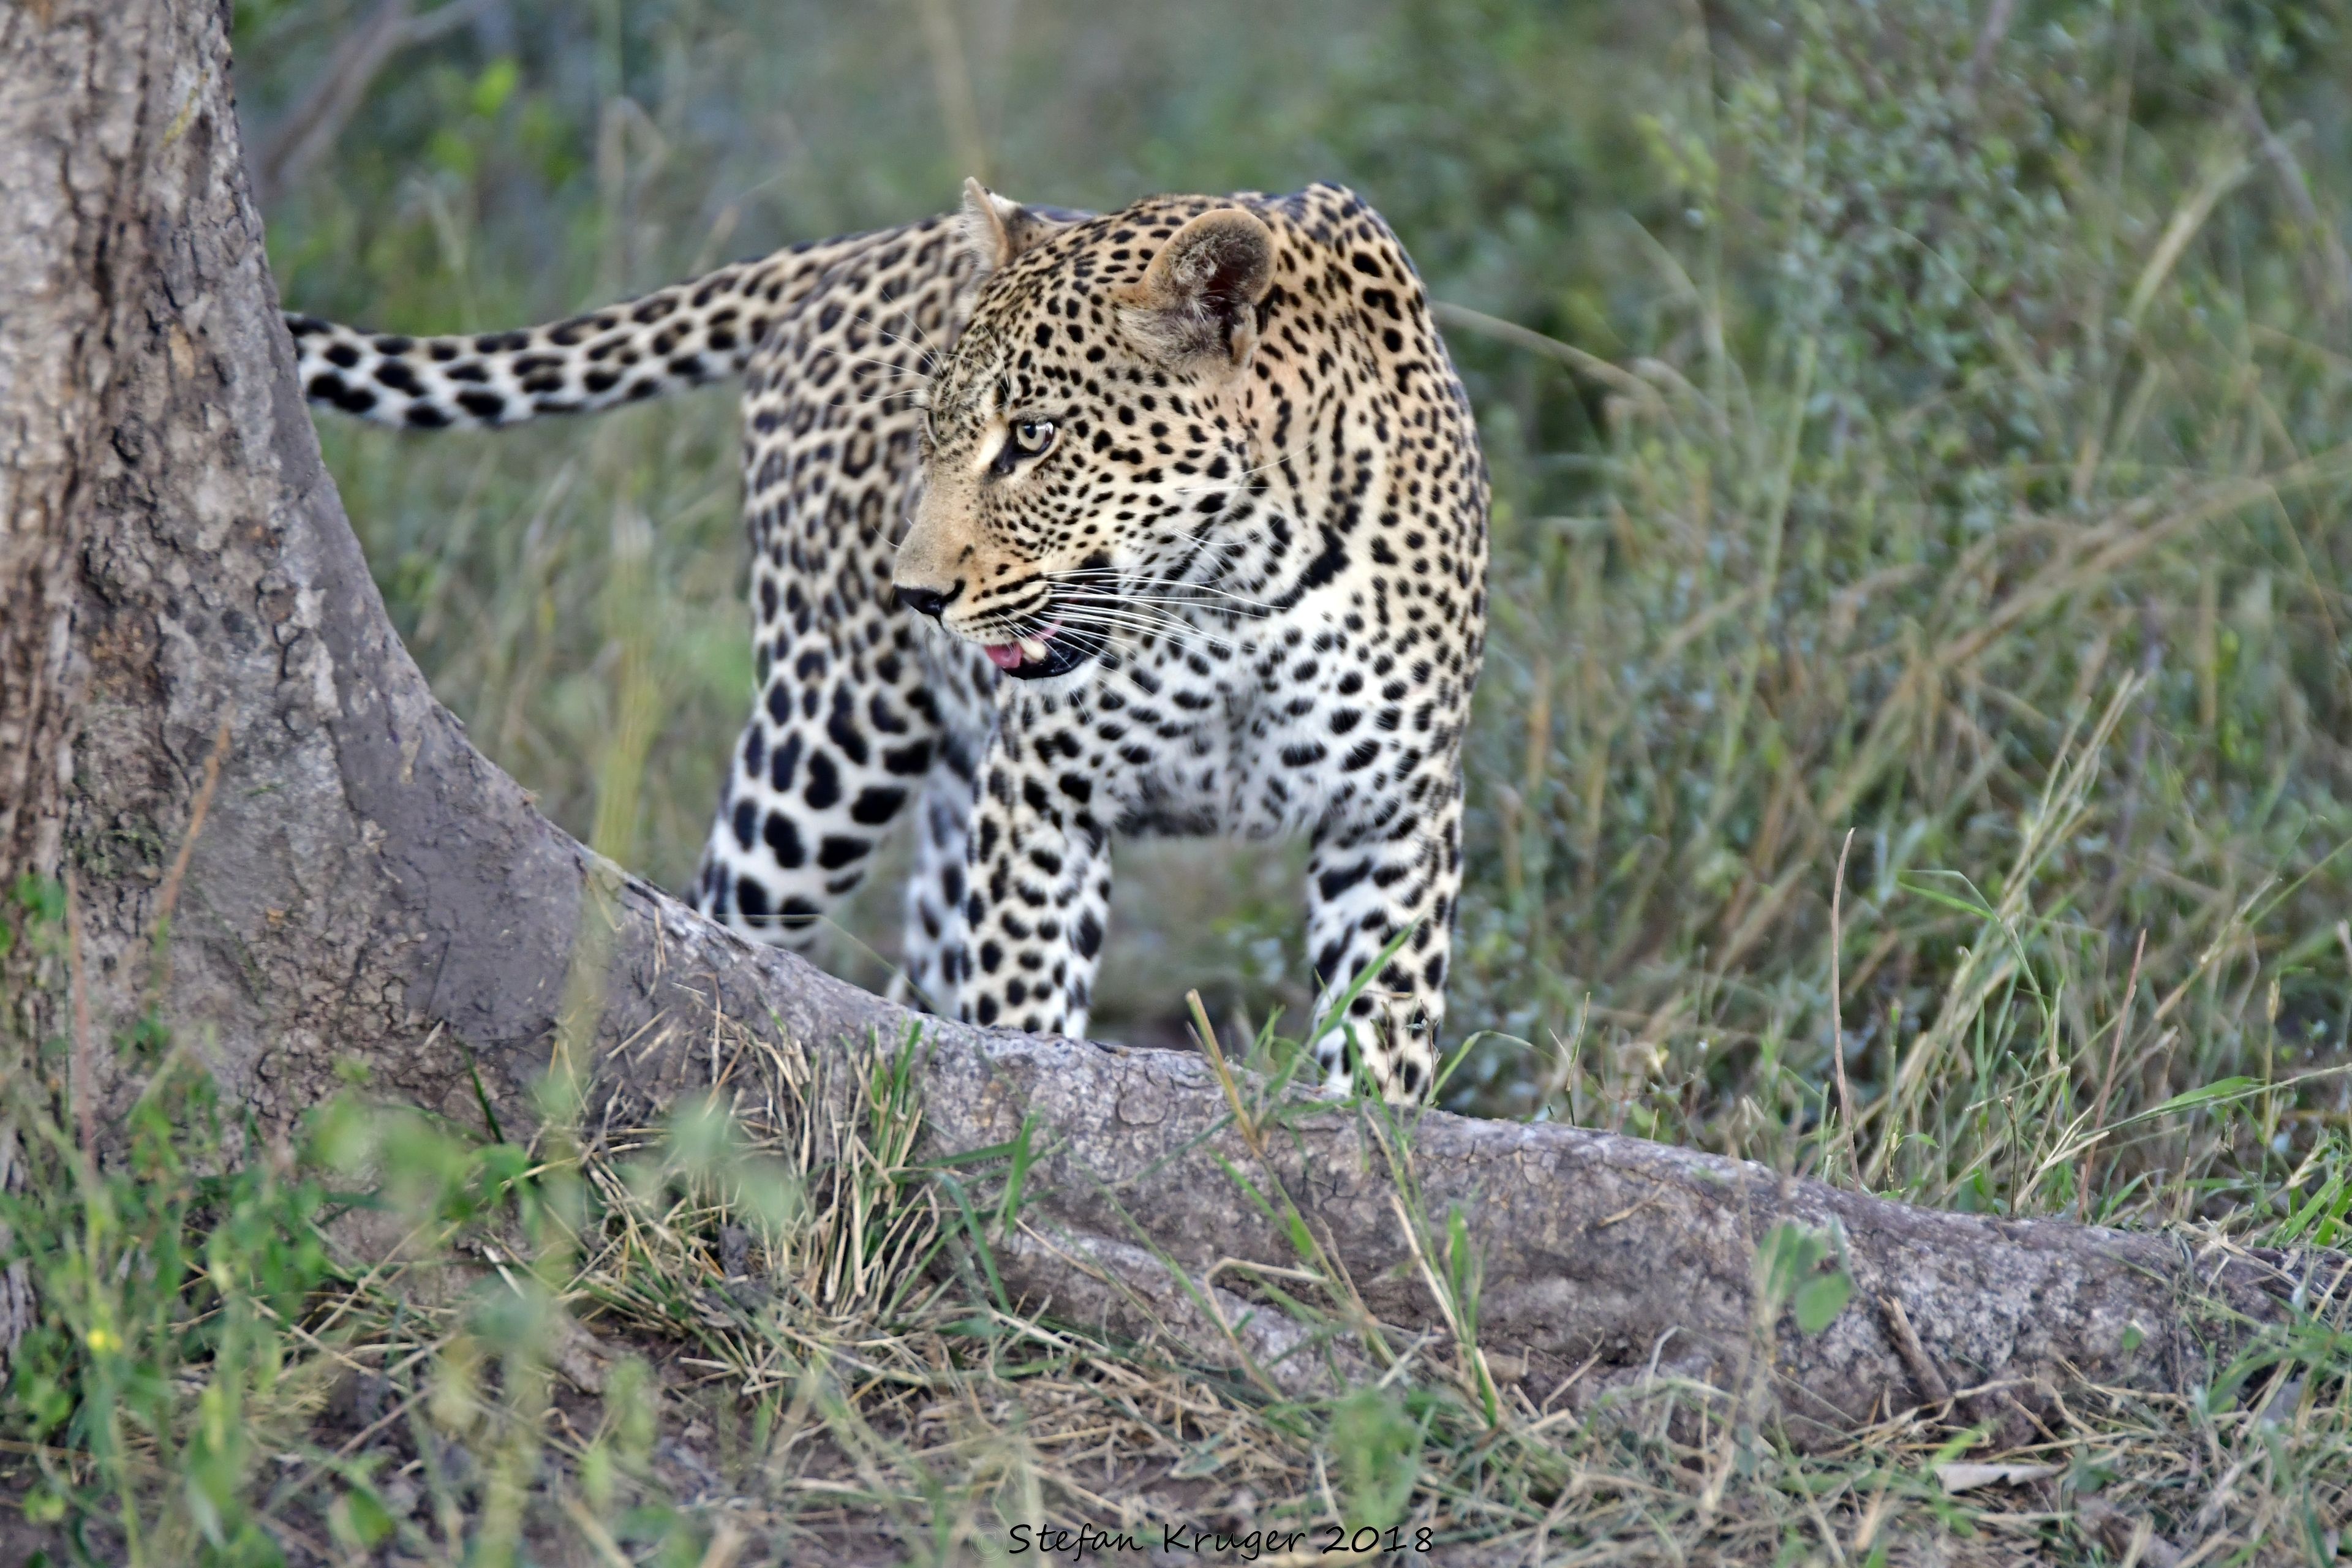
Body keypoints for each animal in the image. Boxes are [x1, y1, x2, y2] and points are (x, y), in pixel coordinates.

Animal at [286, 180, 1489, 1102]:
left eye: (1035, 437)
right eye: (933, 438)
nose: (914, 595)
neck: (1237, 590)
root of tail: (852, 245)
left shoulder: (1395, 816)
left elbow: (1383, 1052)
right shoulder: (1044, 801)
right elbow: (1025, 1020)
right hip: (828, 745)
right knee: (726, 926)